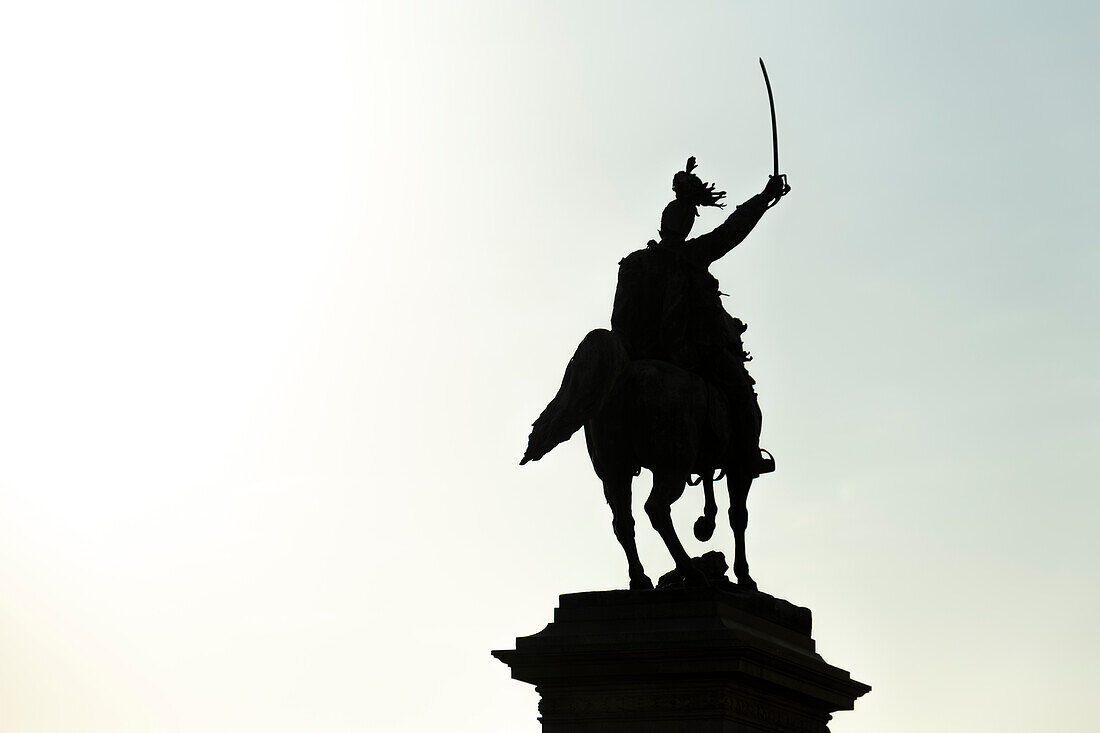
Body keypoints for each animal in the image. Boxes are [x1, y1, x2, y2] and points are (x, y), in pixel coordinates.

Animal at [519, 327, 761, 589]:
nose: (743, 354)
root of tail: (625, 374)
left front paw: (706, 525)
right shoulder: (740, 467)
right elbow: (738, 516)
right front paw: (745, 576)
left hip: (615, 472)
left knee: (623, 522)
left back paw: (640, 578)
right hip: (673, 465)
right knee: (656, 509)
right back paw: (692, 572)